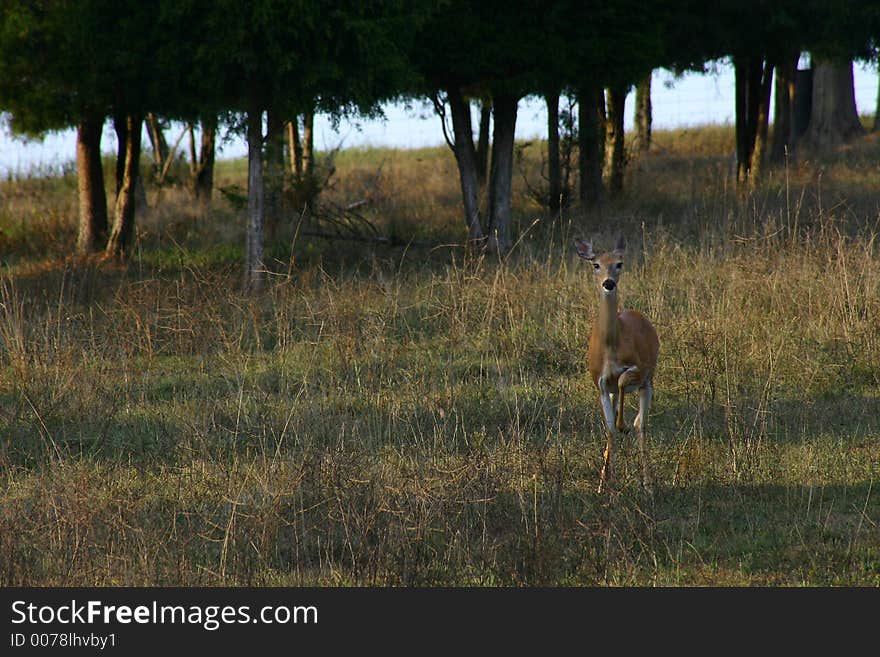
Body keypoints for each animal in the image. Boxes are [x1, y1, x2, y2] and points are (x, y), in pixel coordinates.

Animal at [576, 236, 656, 492]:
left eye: (619, 264)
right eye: (596, 265)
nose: (608, 283)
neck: (611, 346)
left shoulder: (639, 368)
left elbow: (622, 379)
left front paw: (623, 425)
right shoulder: (600, 384)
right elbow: (609, 430)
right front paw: (607, 484)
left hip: (648, 381)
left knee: (641, 424)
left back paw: (648, 484)